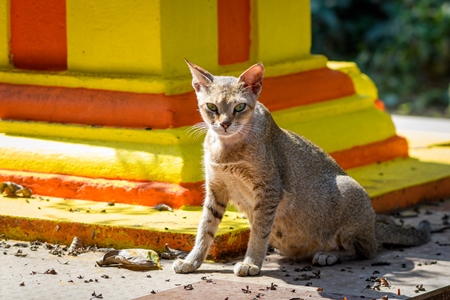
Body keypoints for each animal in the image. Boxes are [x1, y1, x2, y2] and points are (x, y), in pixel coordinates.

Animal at [171, 60, 428, 276]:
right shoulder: (216, 189)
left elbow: (259, 232)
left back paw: (327, 255)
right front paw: (192, 261)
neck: (227, 149)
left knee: (365, 250)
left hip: (350, 190)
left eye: (240, 107)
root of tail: (374, 225)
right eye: (212, 107)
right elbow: (205, 228)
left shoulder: (269, 191)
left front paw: (251, 263)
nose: (224, 124)